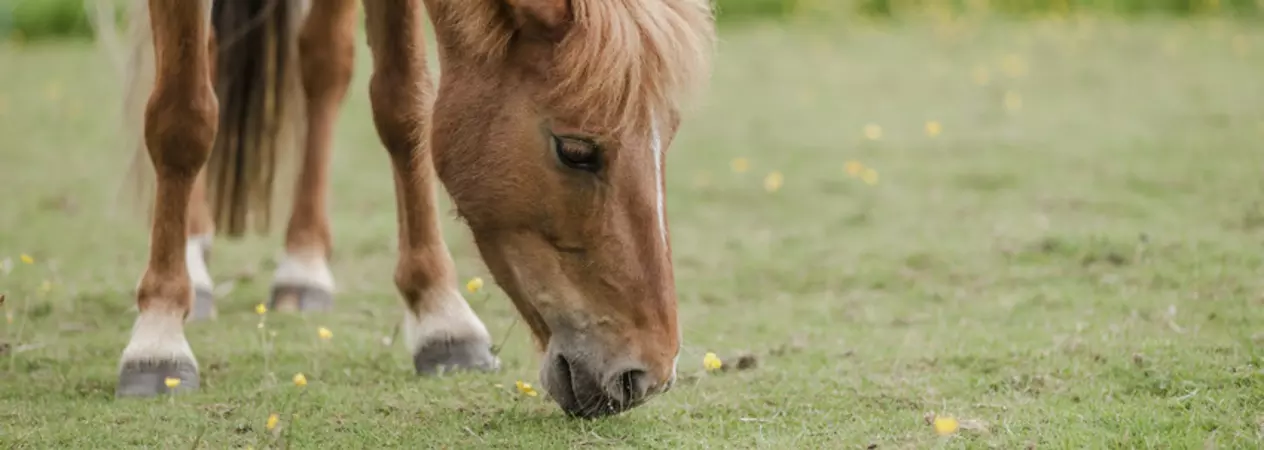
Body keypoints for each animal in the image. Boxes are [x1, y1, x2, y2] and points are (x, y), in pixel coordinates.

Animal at [94, 0, 714, 419]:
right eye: (576, 150)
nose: (646, 375)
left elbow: (404, 102)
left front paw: (440, 315)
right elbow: (183, 117)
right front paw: (157, 338)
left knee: (324, 59)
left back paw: (303, 266)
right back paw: (194, 265)